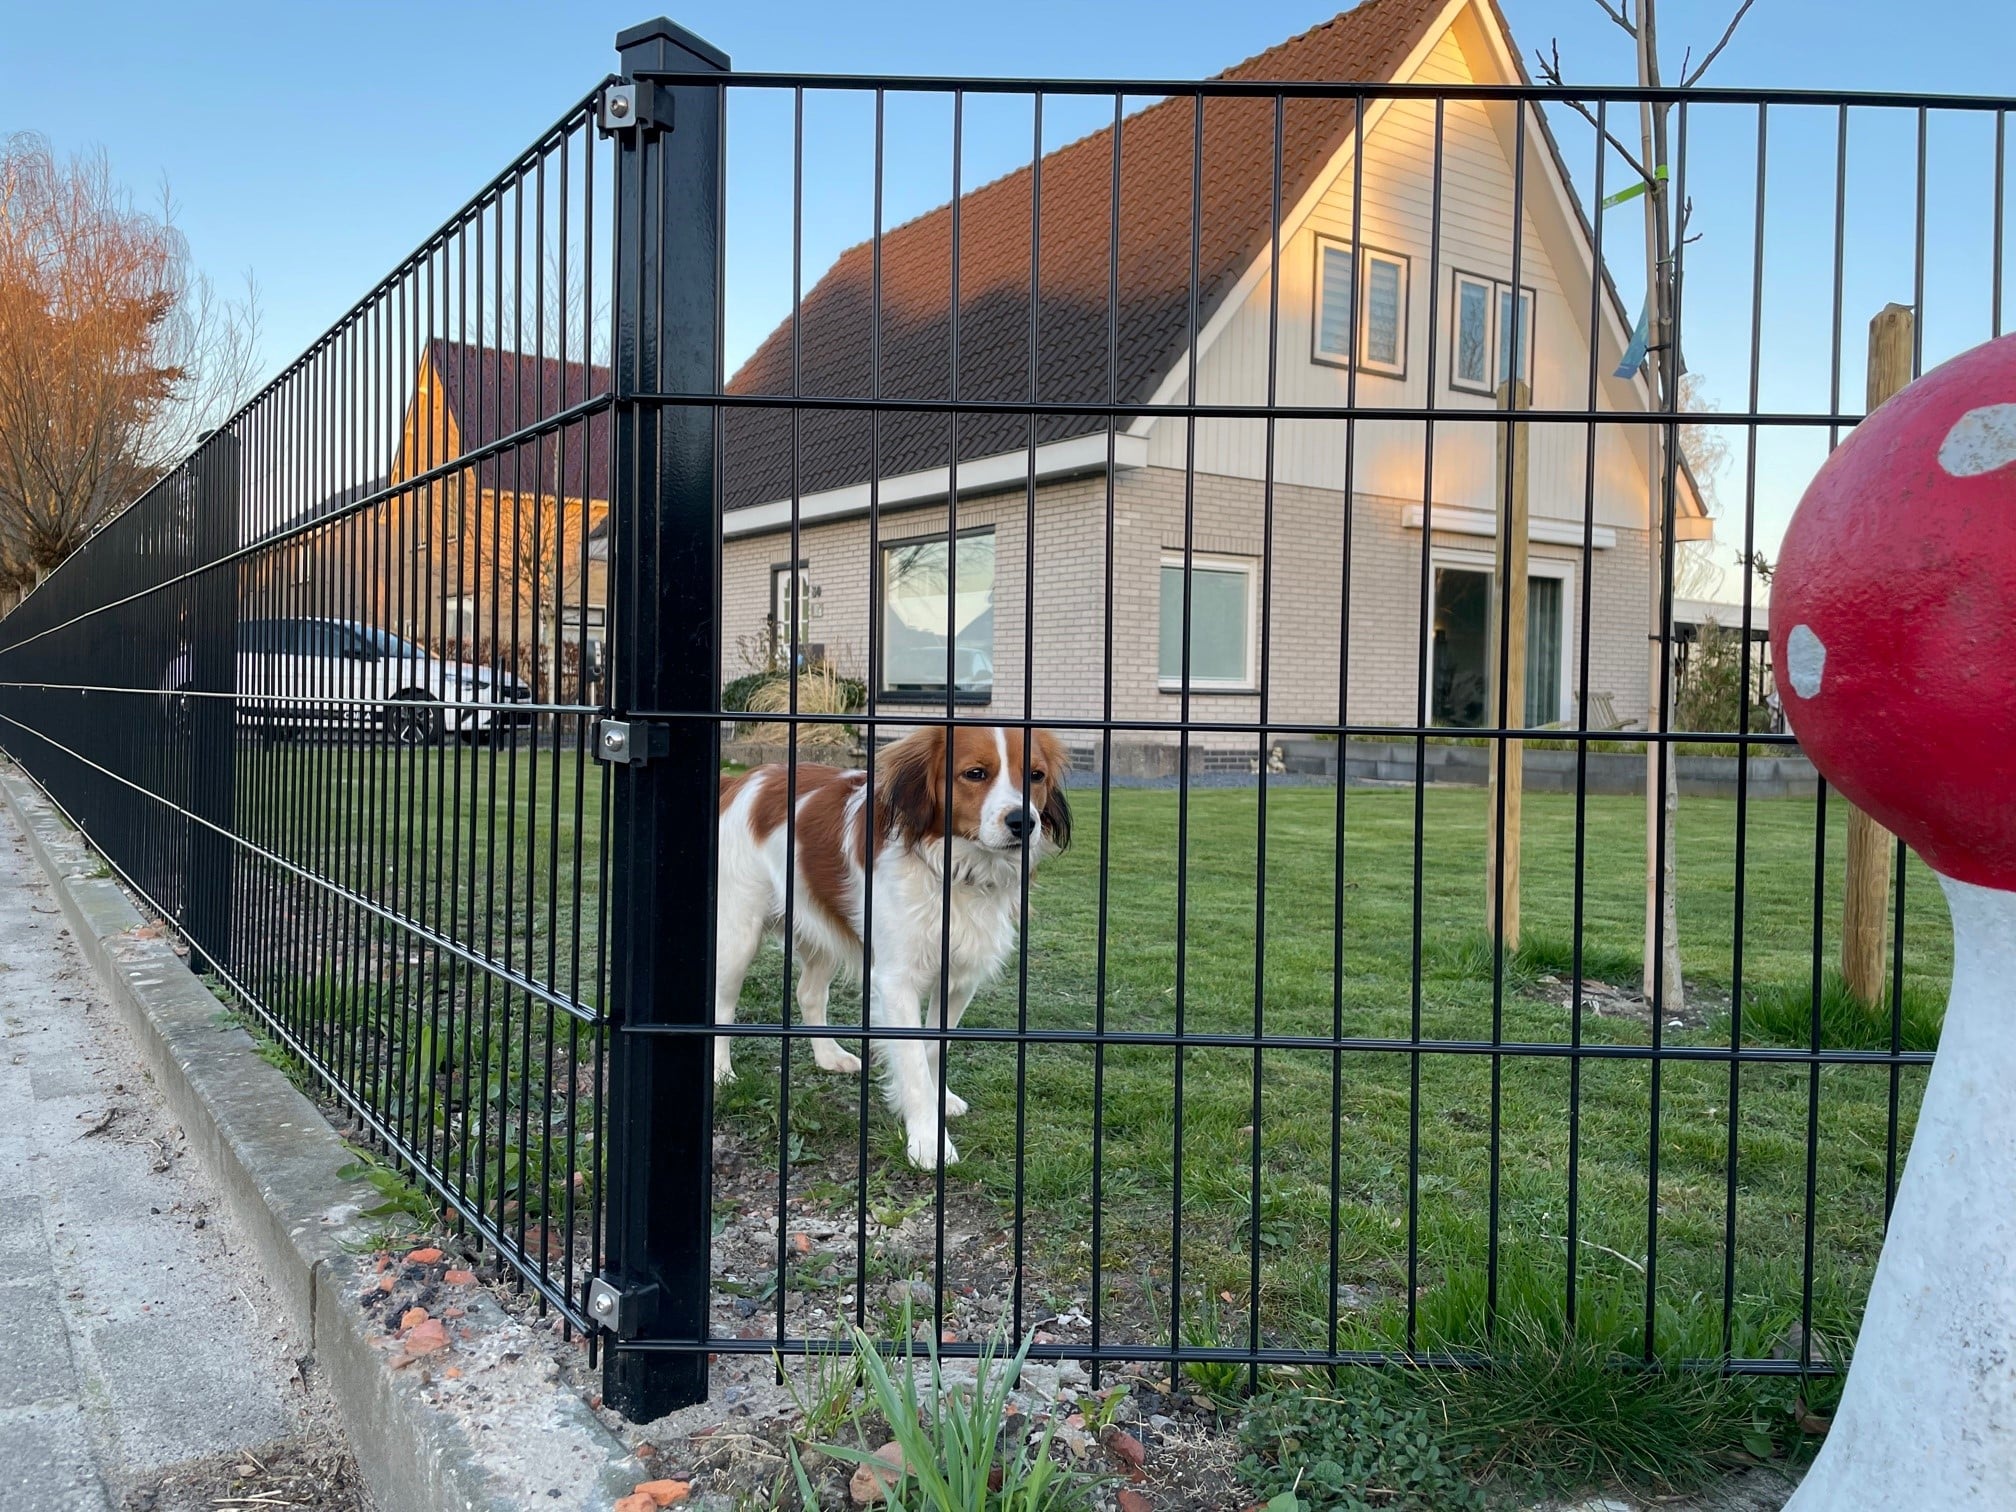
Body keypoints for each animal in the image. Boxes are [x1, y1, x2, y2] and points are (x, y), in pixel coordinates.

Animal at [721, 729, 1080, 1177]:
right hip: (738, 934)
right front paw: (928, 1140)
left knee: (808, 993)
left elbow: (932, 1049)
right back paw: (721, 1074)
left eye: (1036, 775)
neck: (952, 869)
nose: (1023, 822)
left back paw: (829, 1056)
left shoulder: (958, 981)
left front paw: (936, 1102)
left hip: (821, 926)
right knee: (721, 1007)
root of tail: (744, 779)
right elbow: (912, 1061)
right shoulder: (895, 981)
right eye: (975, 774)